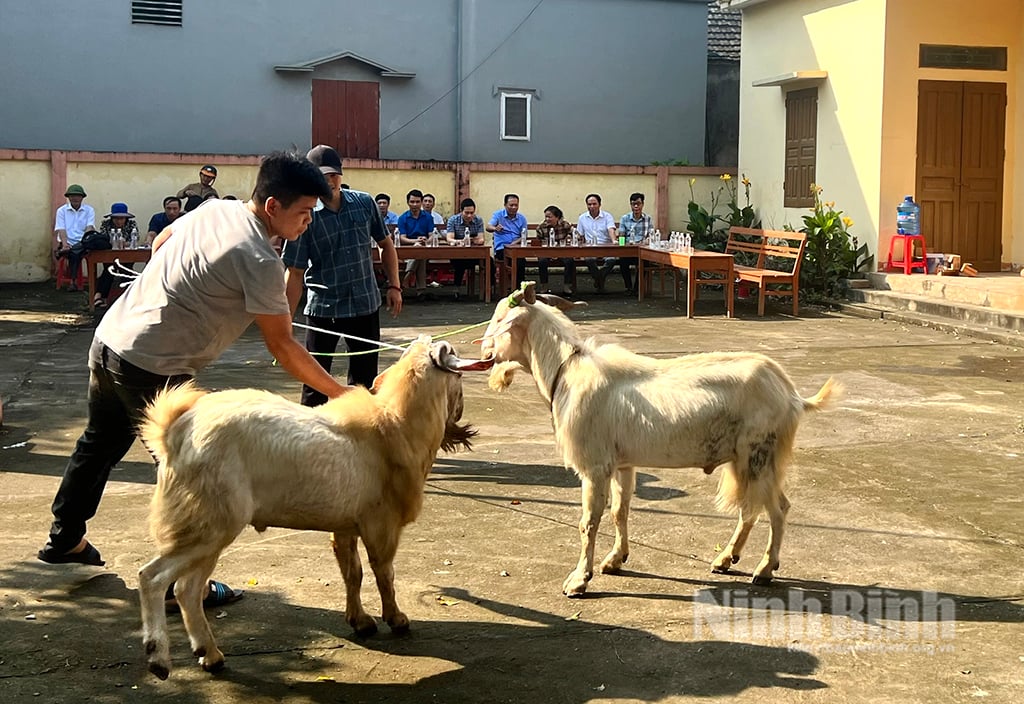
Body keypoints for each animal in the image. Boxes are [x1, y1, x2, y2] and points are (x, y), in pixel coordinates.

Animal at [135, 337, 491, 679]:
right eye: (459, 375)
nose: (460, 415)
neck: (395, 425)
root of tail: (174, 433)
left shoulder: (346, 526)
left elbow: (353, 573)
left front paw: (360, 621)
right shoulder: (382, 525)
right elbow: (383, 573)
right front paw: (397, 619)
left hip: (209, 527)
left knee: (187, 589)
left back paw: (209, 655)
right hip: (208, 520)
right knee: (153, 577)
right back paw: (158, 658)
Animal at [479, 282, 839, 597]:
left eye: (499, 319)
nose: (484, 350)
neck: (567, 371)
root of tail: (791, 394)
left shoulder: (594, 466)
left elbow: (588, 522)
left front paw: (579, 580)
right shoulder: (623, 464)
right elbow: (619, 511)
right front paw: (615, 560)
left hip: (758, 456)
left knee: (777, 509)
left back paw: (763, 571)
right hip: (748, 461)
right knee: (752, 509)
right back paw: (726, 559)